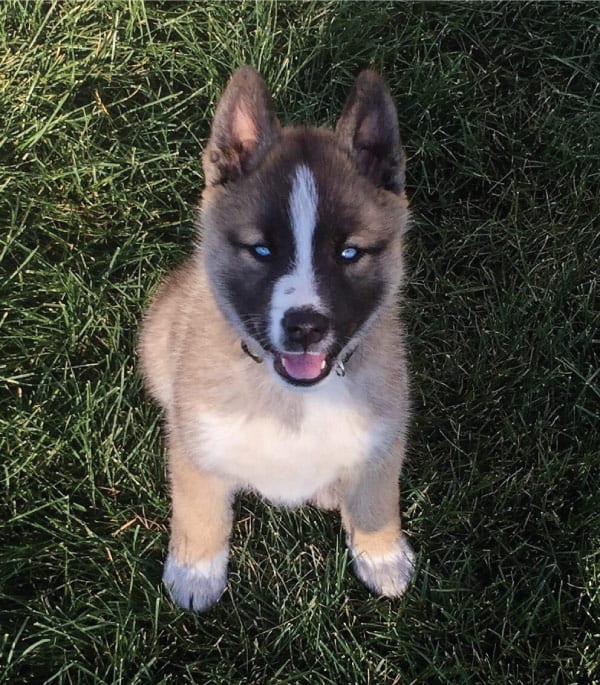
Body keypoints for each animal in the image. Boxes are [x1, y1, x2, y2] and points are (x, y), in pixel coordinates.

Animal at [138, 65, 414, 608]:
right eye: (262, 250)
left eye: (349, 253)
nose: (305, 325)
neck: (294, 400)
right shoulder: (196, 444)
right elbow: (200, 511)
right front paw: (196, 573)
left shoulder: (385, 436)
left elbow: (377, 499)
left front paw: (382, 555)